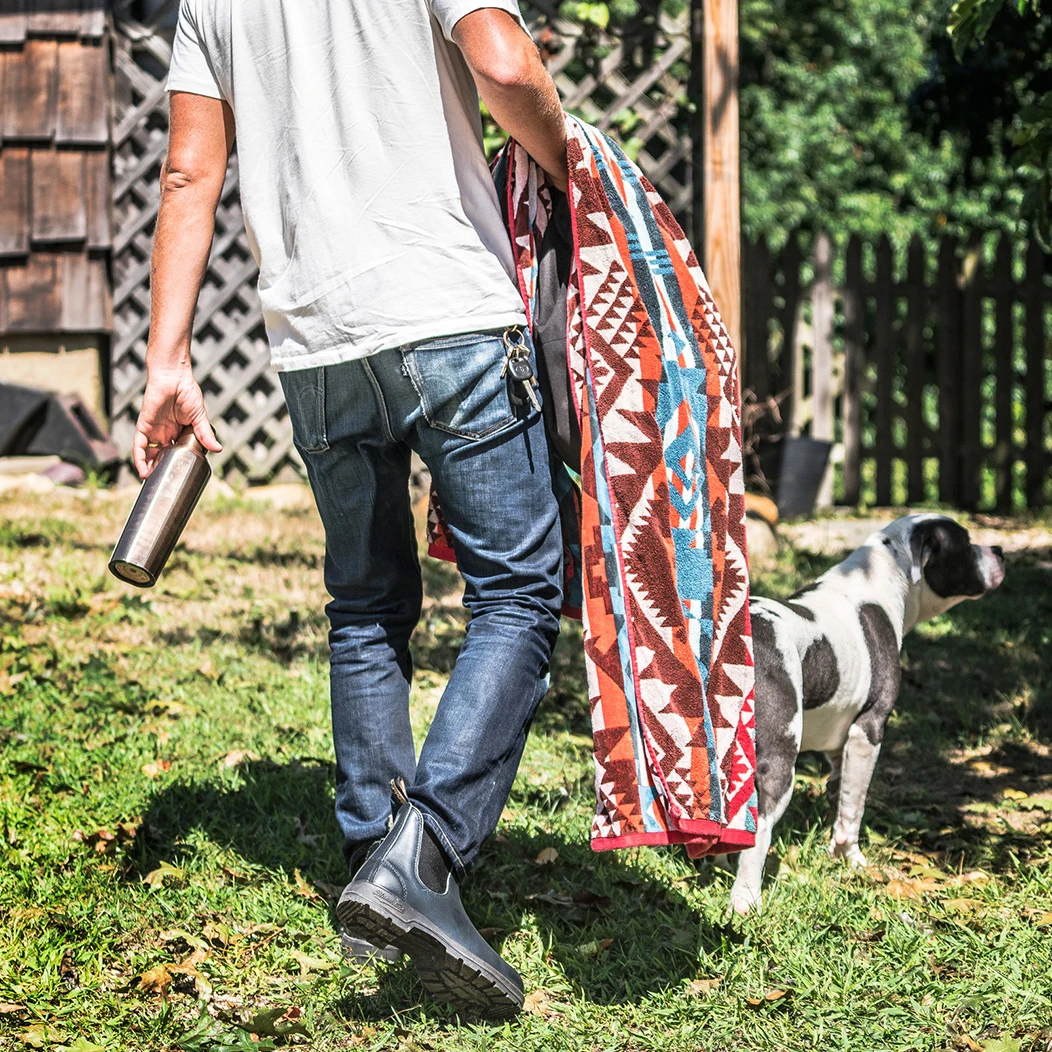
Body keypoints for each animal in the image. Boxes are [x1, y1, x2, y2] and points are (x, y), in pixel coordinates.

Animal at [727, 515, 1005, 913]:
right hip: (778, 763)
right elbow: (854, 808)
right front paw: (851, 859)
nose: (999, 550)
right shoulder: (868, 731)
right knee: (759, 830)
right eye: (965, 544)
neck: (879, 582)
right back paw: (746, 901)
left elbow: (839, 796)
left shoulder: (838, 748)